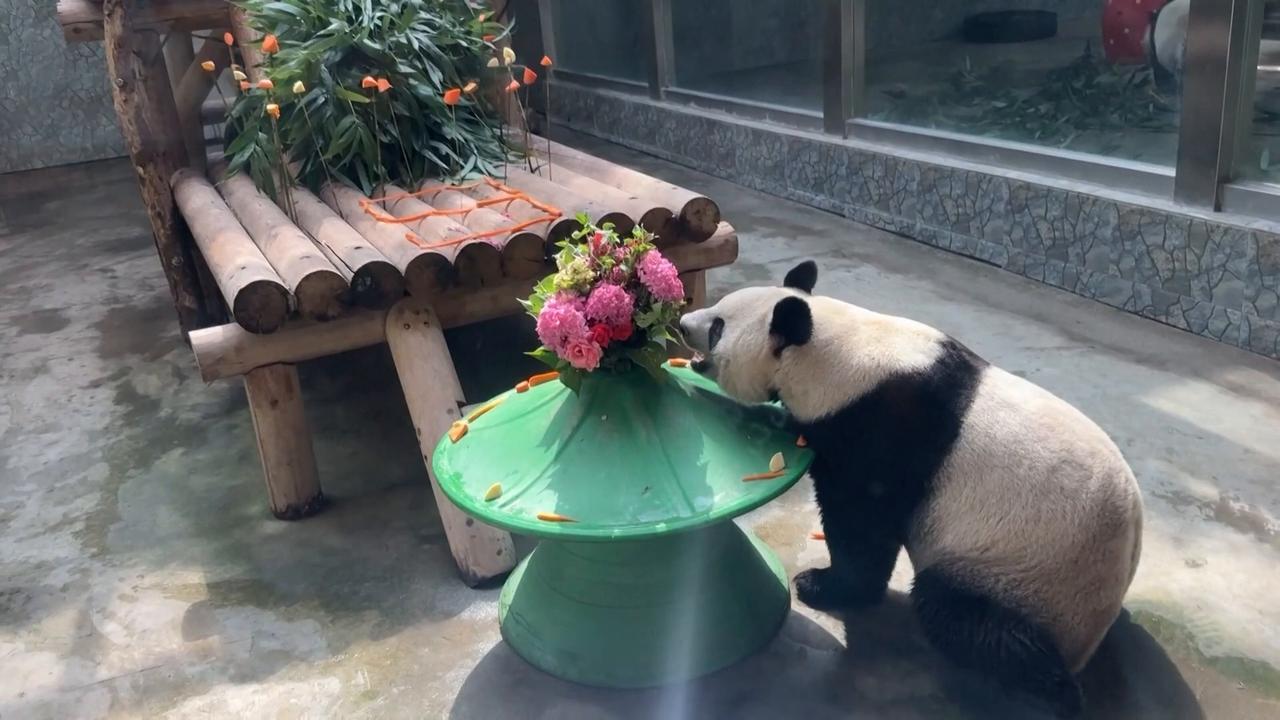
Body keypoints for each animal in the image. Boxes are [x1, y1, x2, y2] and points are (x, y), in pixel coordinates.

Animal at [680, 261, 1143, 718]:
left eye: (718, 326)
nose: (684, 322)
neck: (834, 353)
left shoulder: (885, 430)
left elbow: (860, 522)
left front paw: (821, 584)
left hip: (1021, 572)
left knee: (968, 620)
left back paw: (1051, 694)